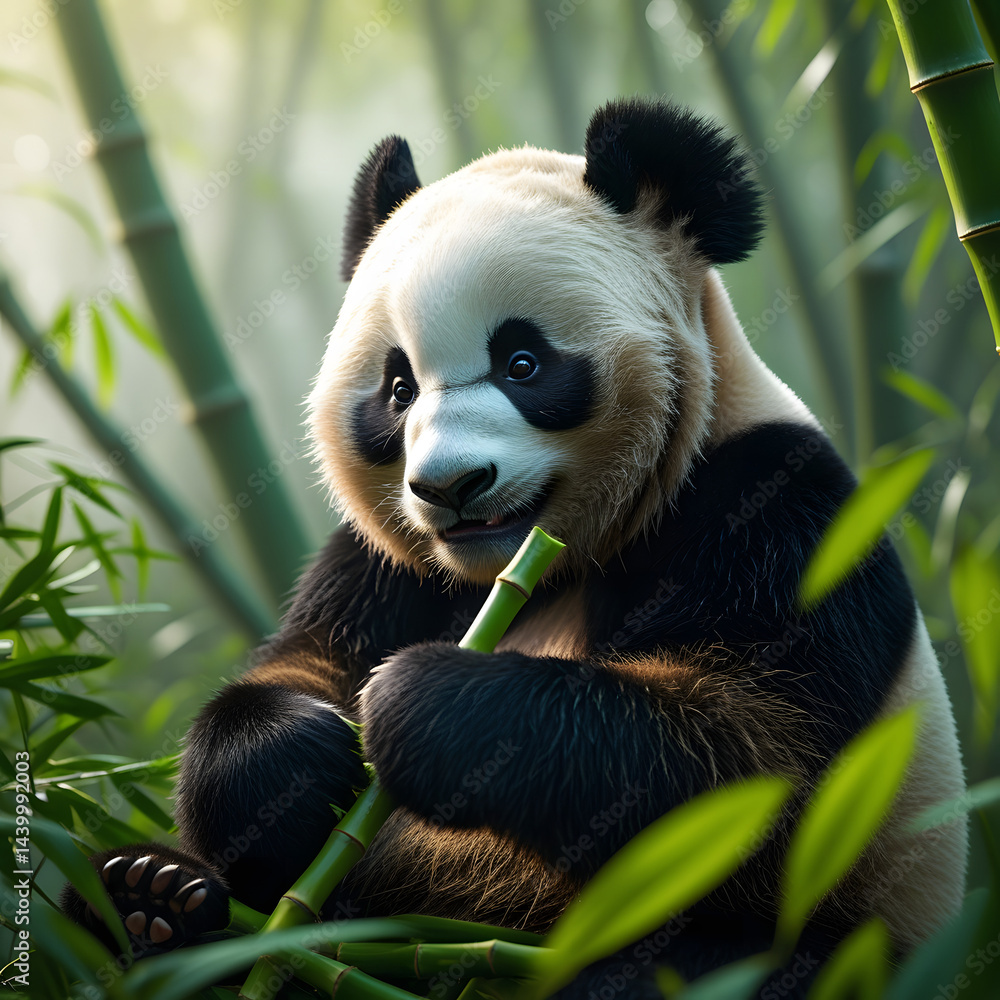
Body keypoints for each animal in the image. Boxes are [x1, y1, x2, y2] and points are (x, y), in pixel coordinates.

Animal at [63, 97, 967, 996]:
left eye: (523, 362)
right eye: (399, 388)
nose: (450, 486)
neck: (549, 559)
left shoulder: (778, 507)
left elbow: (742, 754)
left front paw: (425, 702)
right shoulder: (390, 563)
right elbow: (305, 659)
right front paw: (294, 757)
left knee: (701, 965)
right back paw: (155, 905)